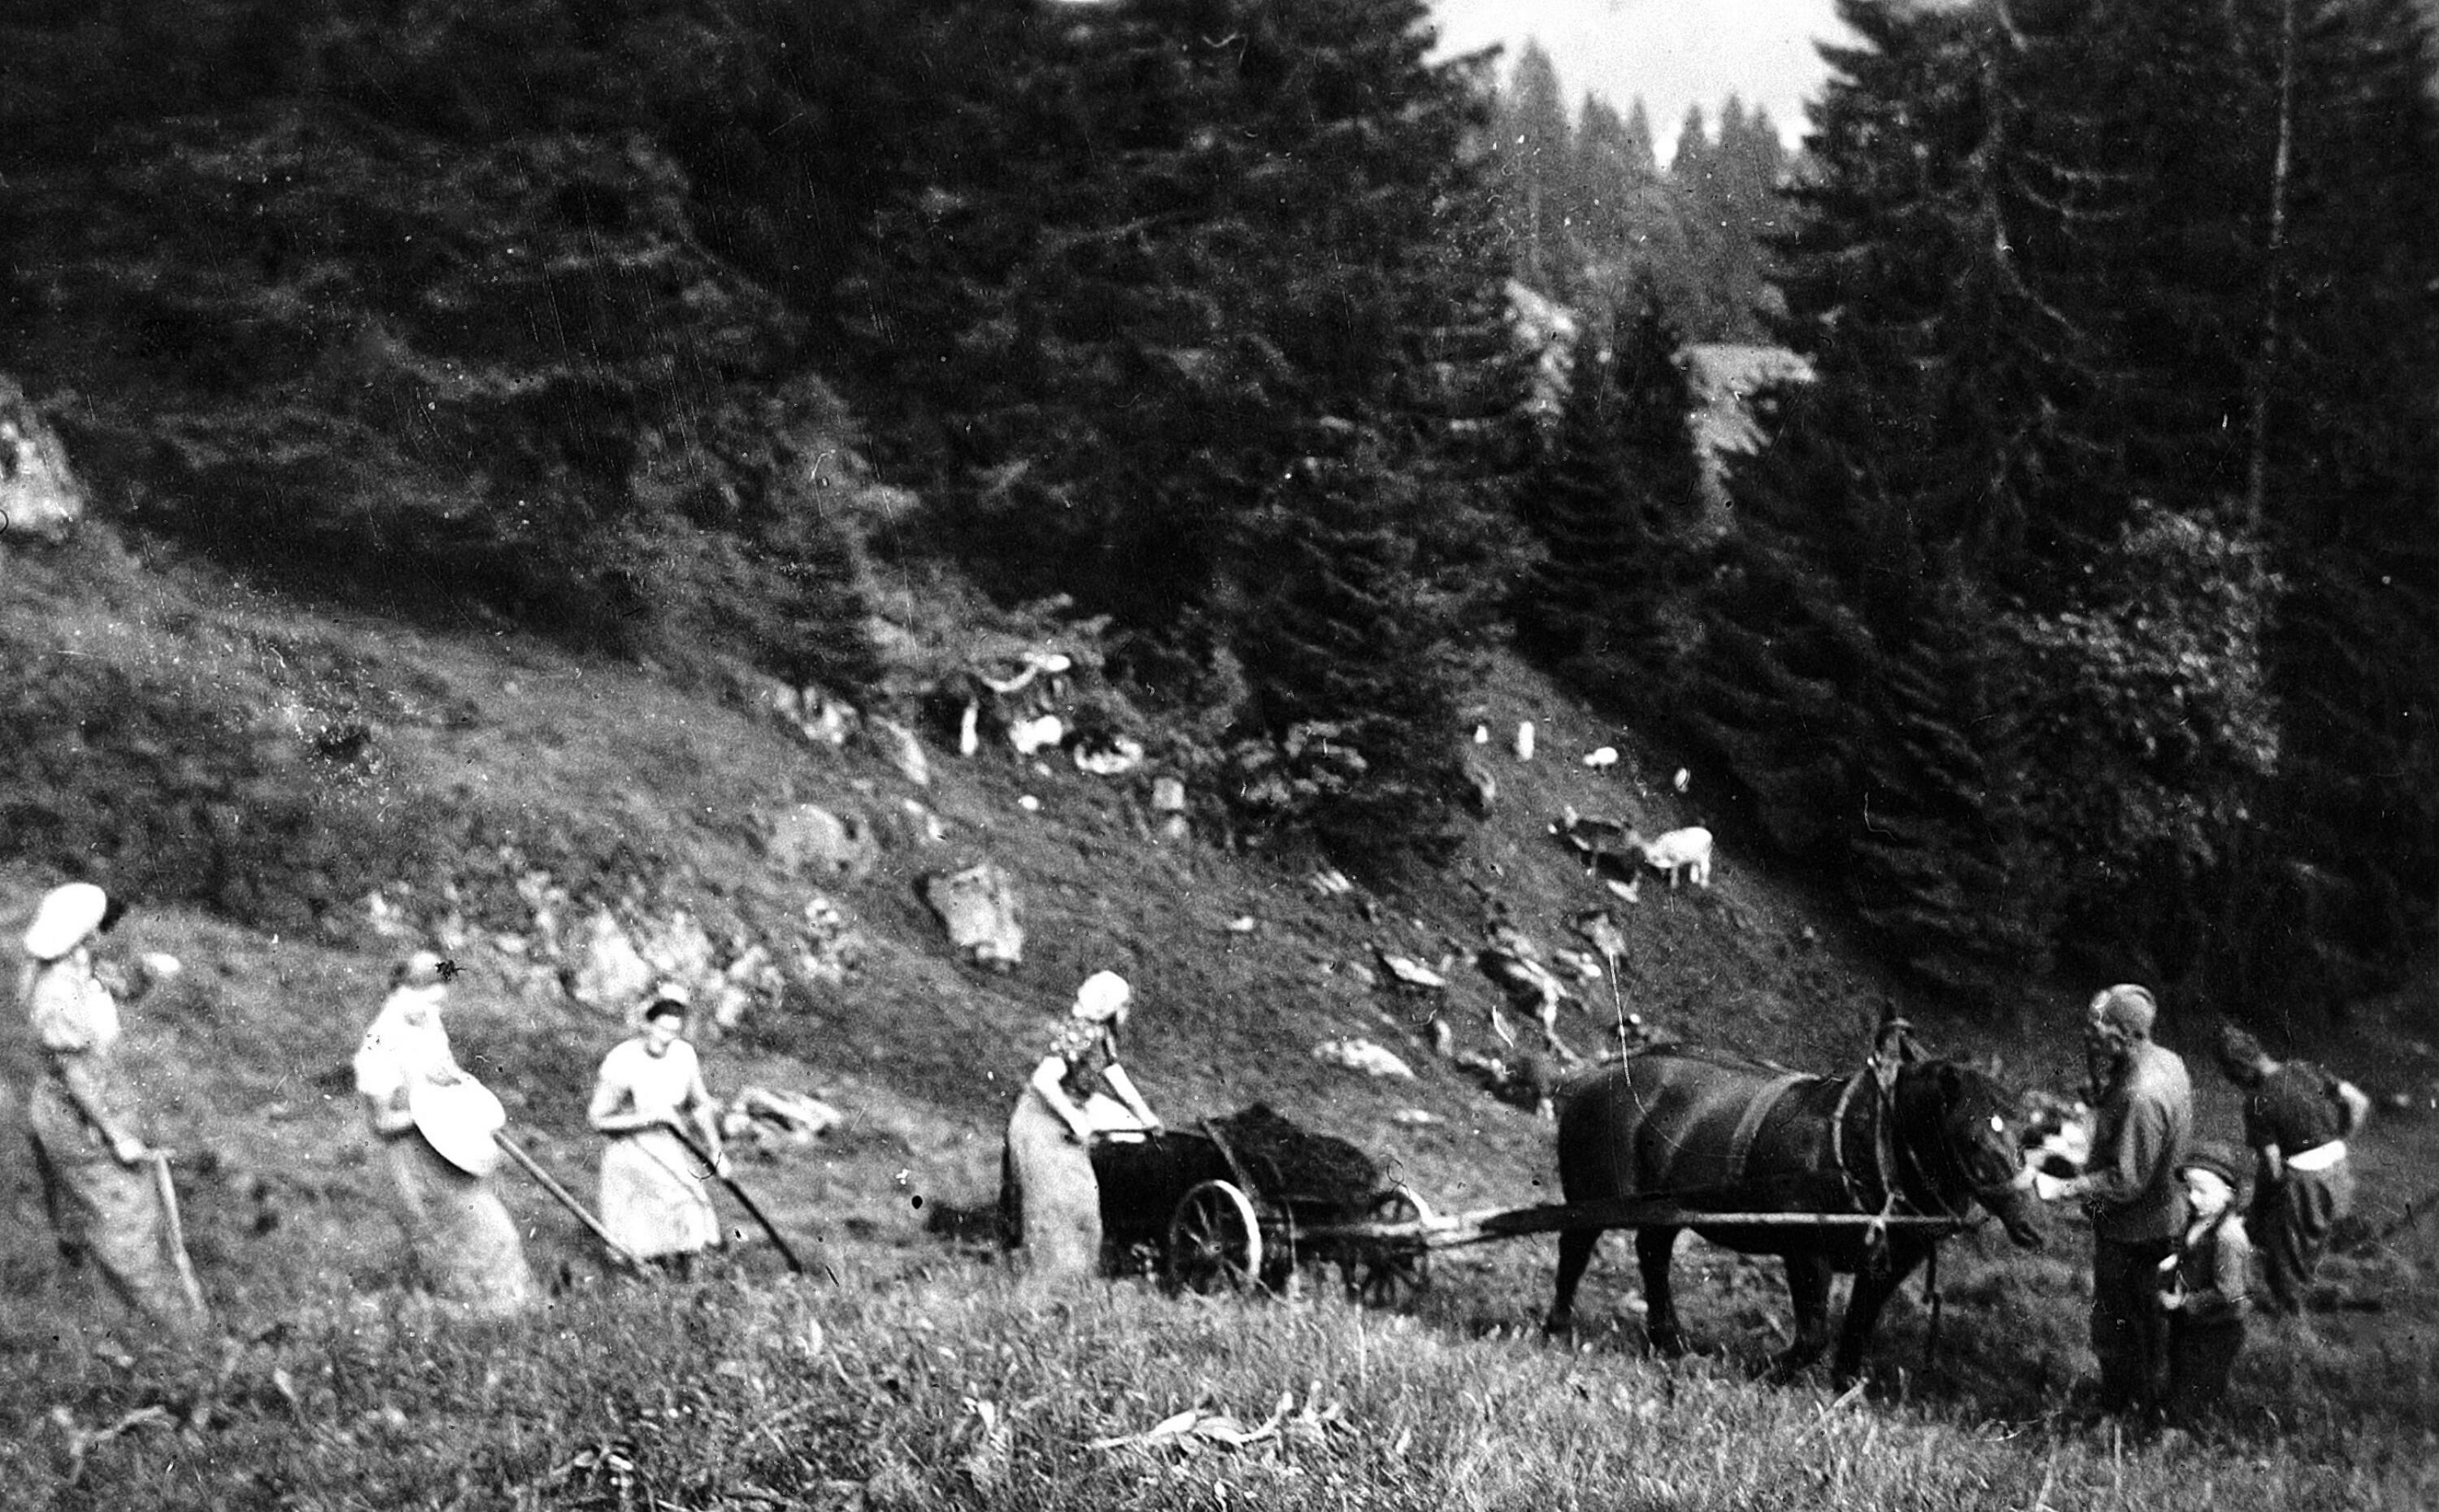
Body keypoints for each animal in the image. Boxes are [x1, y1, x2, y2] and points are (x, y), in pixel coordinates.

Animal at [1542, 1044, 2046, 1385]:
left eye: (2025, 1138)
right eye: (1972, 1139)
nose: (2032, 1227)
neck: (1872, 1150)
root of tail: (1594, 1077)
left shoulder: (1889, 1266)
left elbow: (1856, 1333)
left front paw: (1843, 1395)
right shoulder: (1806, 1250)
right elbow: (1812, 1338)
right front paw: (1760, 1369)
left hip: (1665, 1209)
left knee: (1652, 1254)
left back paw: (1669, 1342)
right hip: (1595, 1198)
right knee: (1576, 1249)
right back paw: (1559, 1329)